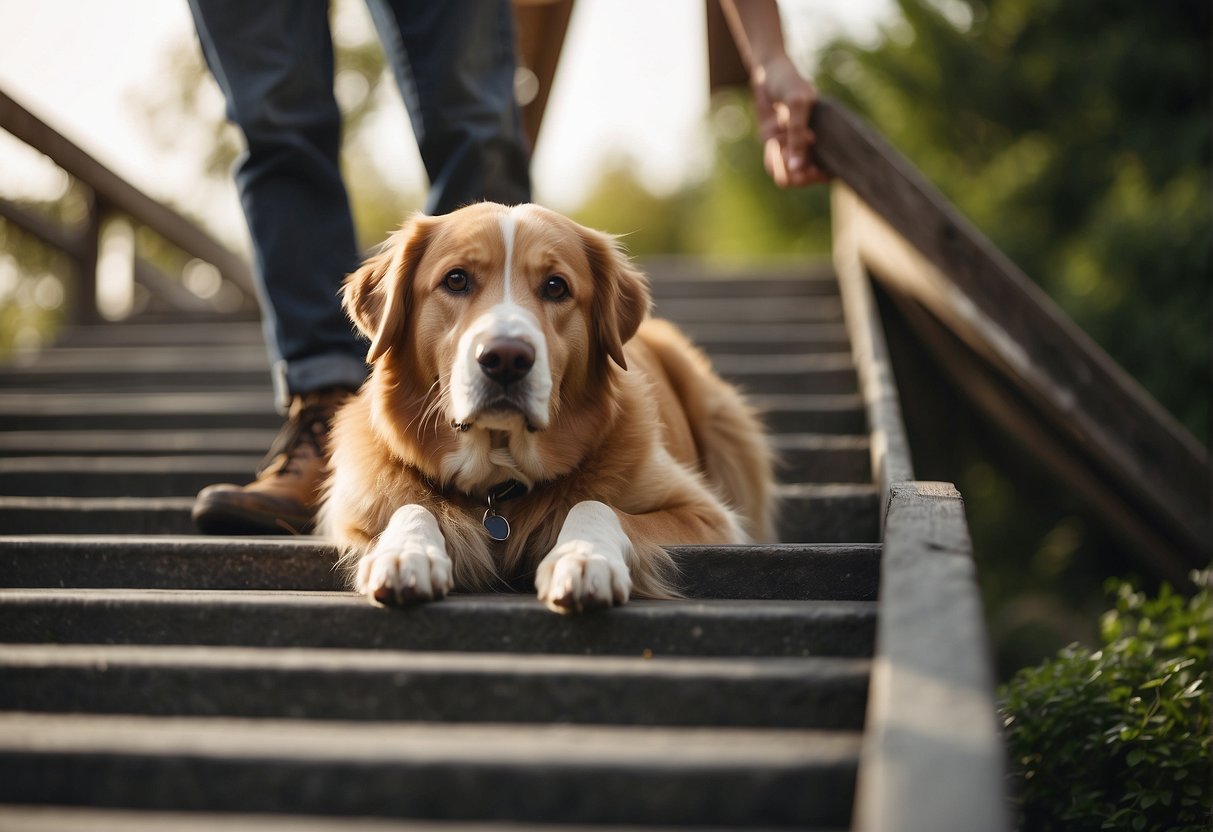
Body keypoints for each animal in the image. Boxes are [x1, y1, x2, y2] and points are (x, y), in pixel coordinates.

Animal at [320, 202, 776, 613]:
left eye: (556, 287)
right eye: (456, 280)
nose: (506, 358)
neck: (498, 486)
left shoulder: (708, 517)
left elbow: (595, 504)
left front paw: (583, 557)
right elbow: (411, 505)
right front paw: (405, 553)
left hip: (723, 420)